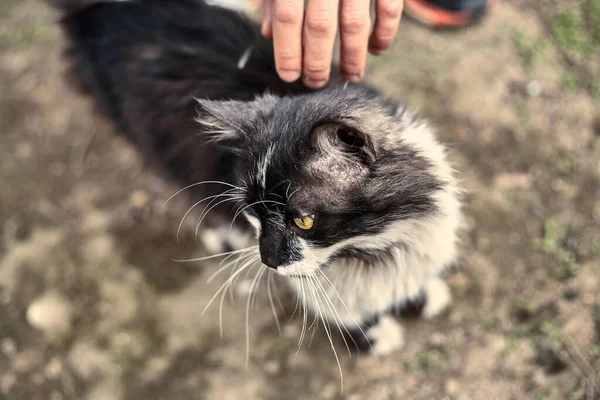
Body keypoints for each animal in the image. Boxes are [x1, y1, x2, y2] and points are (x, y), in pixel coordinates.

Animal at [48, 0, 464, 356]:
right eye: (253, 213)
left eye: (304, 221)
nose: (267, 261)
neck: (374, 246)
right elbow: (343, 305)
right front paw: (374, 333)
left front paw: (425, 293)